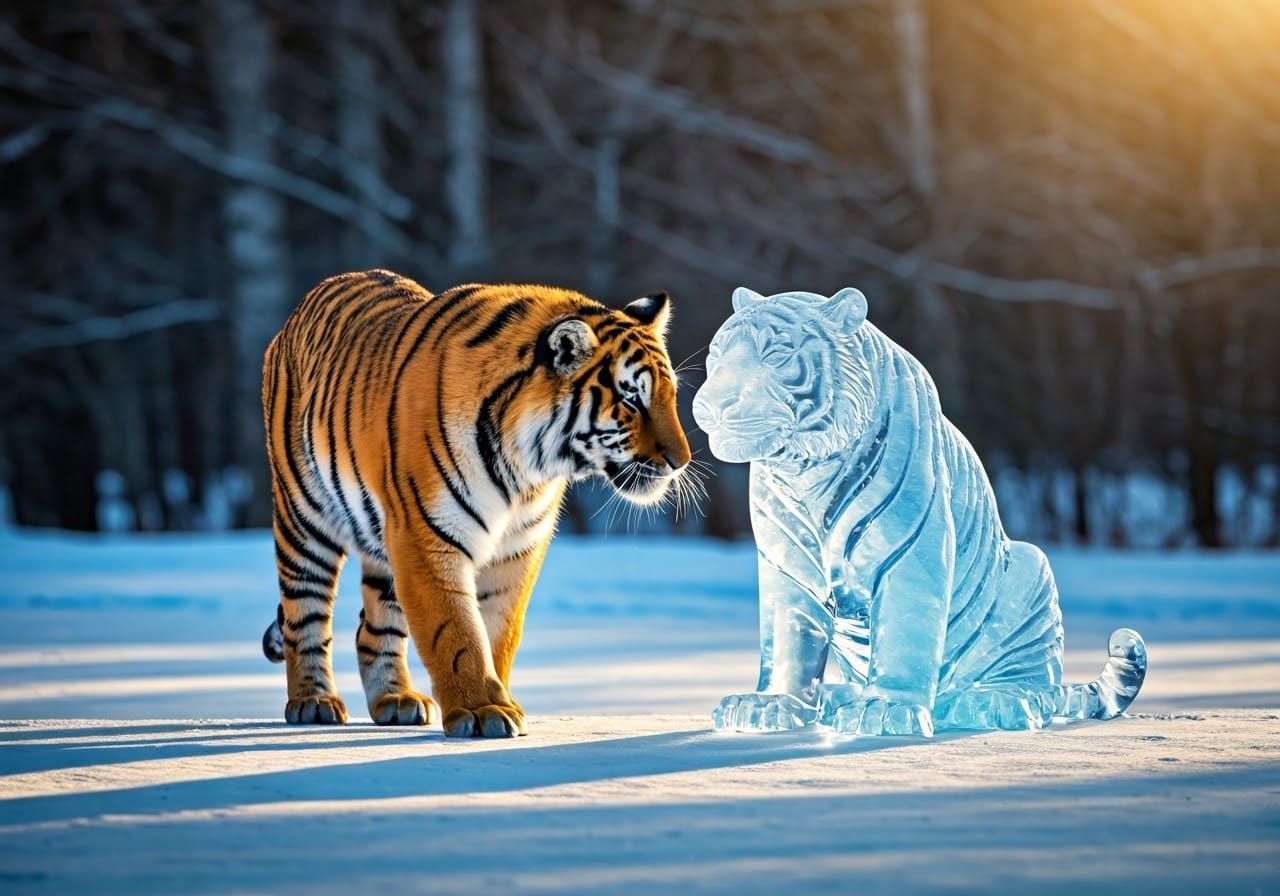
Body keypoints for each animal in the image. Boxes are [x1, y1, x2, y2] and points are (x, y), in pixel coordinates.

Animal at [259, 269, 691, 737]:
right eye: (631, 400)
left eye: (669, 396)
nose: (682, 461)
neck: (528, 468)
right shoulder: (427, 536)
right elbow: (456, 631)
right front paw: (482, 711)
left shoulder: (517, 548)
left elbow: (498, 630)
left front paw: (500, 701)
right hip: (304, 519)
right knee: (304, 613)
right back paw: (313, 701)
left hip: (384, 539)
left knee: (372, 627)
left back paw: (396, 700)